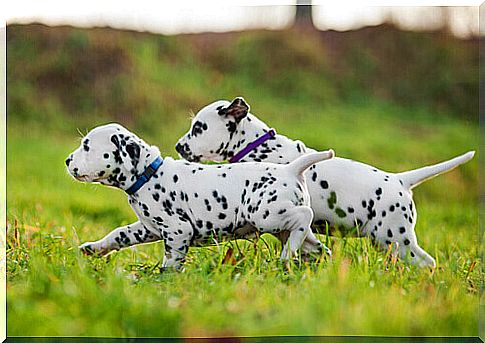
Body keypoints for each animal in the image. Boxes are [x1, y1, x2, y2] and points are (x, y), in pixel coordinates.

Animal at [66, 122, 334, 270]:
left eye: (87, 146)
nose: (68, 160)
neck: (149, 174)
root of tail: (291, 169)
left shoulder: (177, 230)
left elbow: (171, 261)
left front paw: (164, 280)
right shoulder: (147, 228)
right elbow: (118, 234)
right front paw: (93, 249)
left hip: (267, 216)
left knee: (305, 215)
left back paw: (287, 255)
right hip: (283, 228)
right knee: (315, 244)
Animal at [176, 97, 474, 268]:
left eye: (198, 128)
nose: (179, 147)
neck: (258, 146)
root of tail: (401, 181)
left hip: (395, 238)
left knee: (428, 262)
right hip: (391, 242)